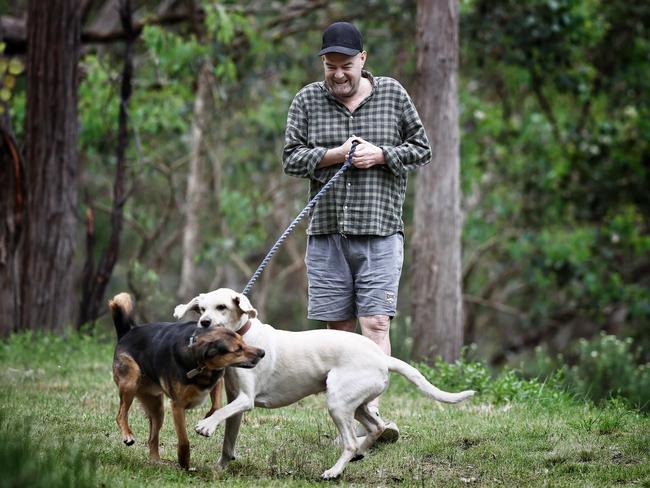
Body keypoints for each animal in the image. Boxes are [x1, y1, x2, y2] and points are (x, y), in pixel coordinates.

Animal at [109, 294, 264, 468]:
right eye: (237, 350)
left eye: (243, 342)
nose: (262, 352)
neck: (202, 366)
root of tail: (126, 333)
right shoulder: (177, 406)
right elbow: (183, 439)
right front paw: (184, 461)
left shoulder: (217, 380)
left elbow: (216, 405)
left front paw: (208, 419)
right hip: (130, 382)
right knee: (121, 414)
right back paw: (127, 434)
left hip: (157, 409)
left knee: (152, 438)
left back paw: (156, 461)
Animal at [175, 288, 474, 478]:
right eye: (201, 308)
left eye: (222, 307)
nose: (204, 322)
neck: (244, 337)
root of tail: (381, 357)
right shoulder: (236, 400)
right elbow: (228, 441)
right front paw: (219, 467)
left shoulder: (245, 401)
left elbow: (220, 414)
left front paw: (205, 425)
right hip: (356, 404)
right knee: (376, 427)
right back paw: (359, 454)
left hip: (338, 404)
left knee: (351, 441)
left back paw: (335, 471)